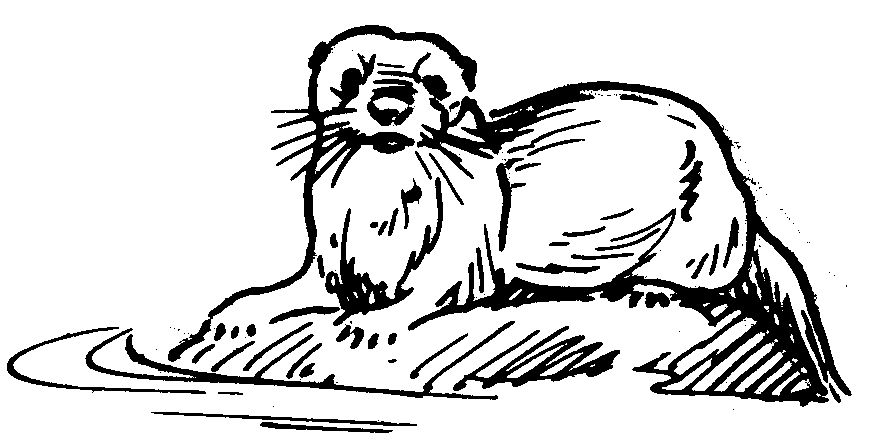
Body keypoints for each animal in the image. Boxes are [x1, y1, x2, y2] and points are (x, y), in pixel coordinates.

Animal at [180, 25, 848, 401]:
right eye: (352, 73)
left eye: (434, 84)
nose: (392, 101)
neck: (382, 221)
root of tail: (745, 204)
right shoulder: (328, 250)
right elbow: (293, 290)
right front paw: (233, 314)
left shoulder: (463, 252)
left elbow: (432, 293)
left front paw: (378, 323)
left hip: (707, 230)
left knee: (711, 280)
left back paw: (650, 291)